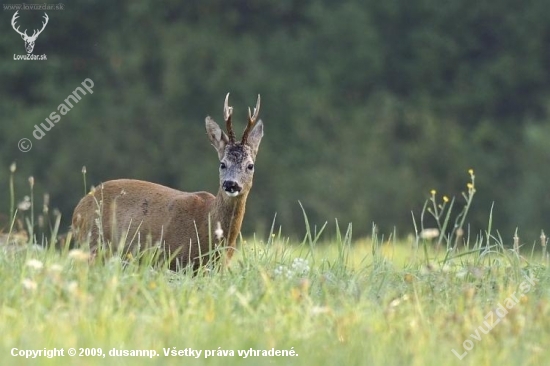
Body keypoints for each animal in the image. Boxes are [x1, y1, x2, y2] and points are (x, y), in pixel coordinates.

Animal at [71, 93, 266, 272]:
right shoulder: (175, 260)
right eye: (222, 164)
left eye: (250, 165)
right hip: (94, 245)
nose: (231, 184)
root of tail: (78, 209)